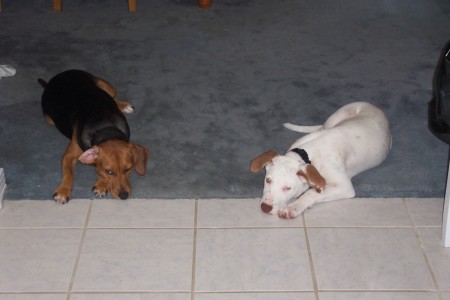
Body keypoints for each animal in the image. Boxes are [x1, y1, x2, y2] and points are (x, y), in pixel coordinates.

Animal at [39, 69, 149, 203]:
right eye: (109, 171)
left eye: (128, 169)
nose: (123, 196)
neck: (105, 128)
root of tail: (53, 80)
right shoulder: (68, 156)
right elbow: (69, 173)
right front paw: (63, 190)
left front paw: (101, 184)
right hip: (49, 119)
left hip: (106, 86)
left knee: (112, 97)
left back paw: (123, 105)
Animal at [251, 102, 392, 219]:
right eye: (268, 180)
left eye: (287, 188)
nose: (265, 207)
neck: (306, 153)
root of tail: (375, 107)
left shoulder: (344, 186)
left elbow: (312, 193)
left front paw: (293, 207)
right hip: (335, 117)